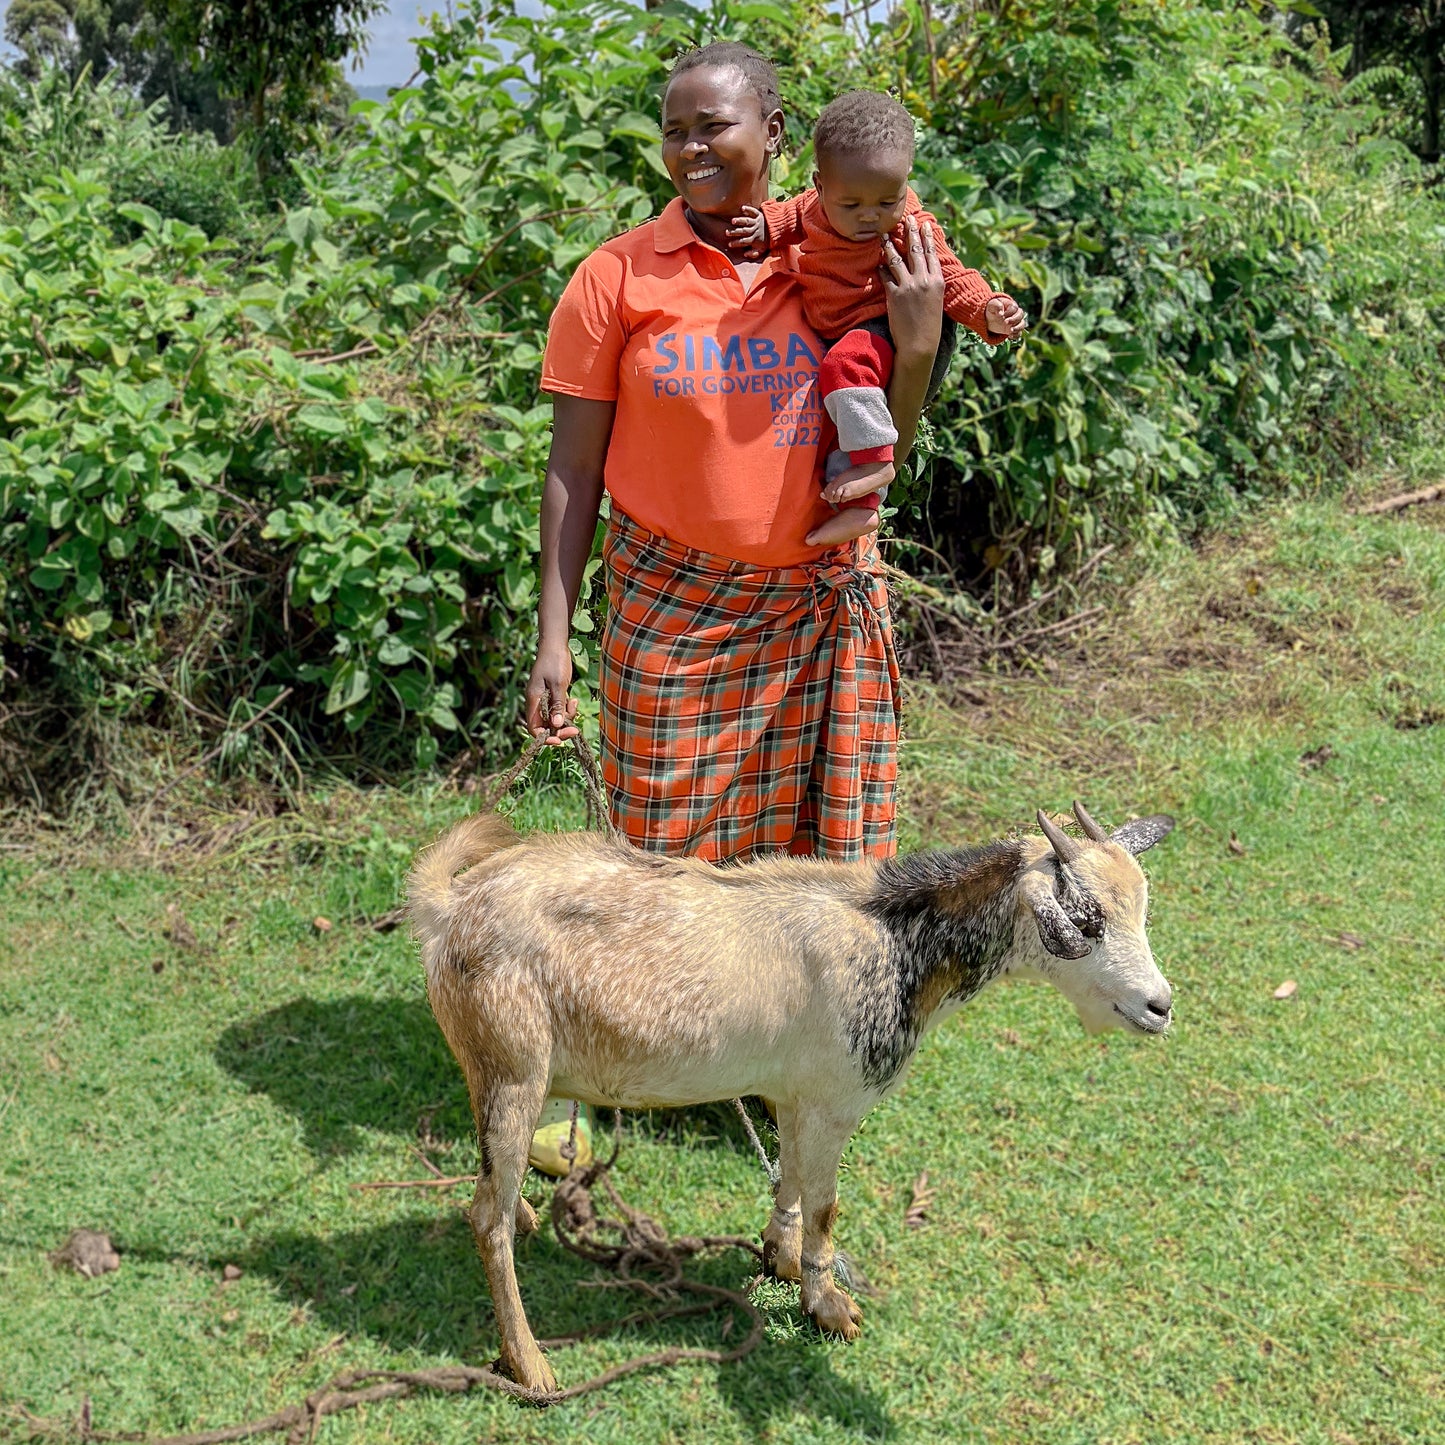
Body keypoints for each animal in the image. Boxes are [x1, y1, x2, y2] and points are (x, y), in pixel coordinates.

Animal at [408, 801, 1174, 1393]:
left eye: (1140, 909)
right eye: (1086, 921)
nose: (1159, 1006)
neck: (894, 941)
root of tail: (450, 909)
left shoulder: (794, 1093)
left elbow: (793, 1180)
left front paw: (777, 1253)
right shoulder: (835, 1099)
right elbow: (826, 1204)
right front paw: (826, 1304)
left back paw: (531, 1215)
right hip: (513, 1065)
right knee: (484, 1217)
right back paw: (529, 1362)